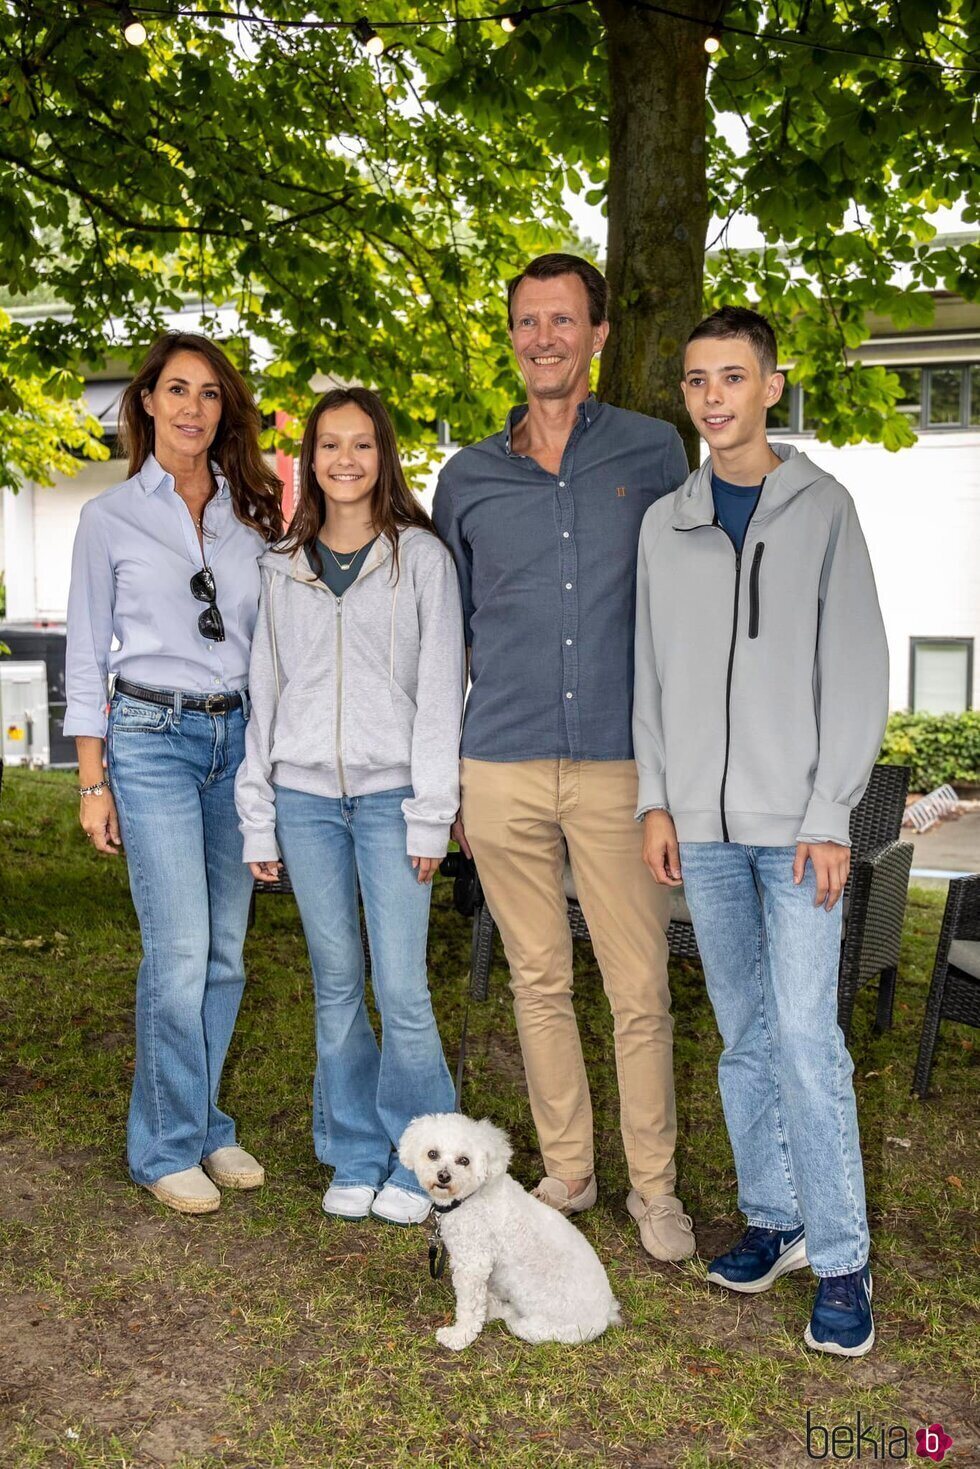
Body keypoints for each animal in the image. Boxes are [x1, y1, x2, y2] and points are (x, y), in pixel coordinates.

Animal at [399, 1116, 620, 1345]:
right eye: (432, 1154)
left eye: (464, 1160)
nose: (443, 1176)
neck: (470, 1198)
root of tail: (604, 1316)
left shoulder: (473, 1263)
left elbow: (470, 1307)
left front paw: (460, 1335)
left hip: (543, 1328)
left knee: (515, 1321)